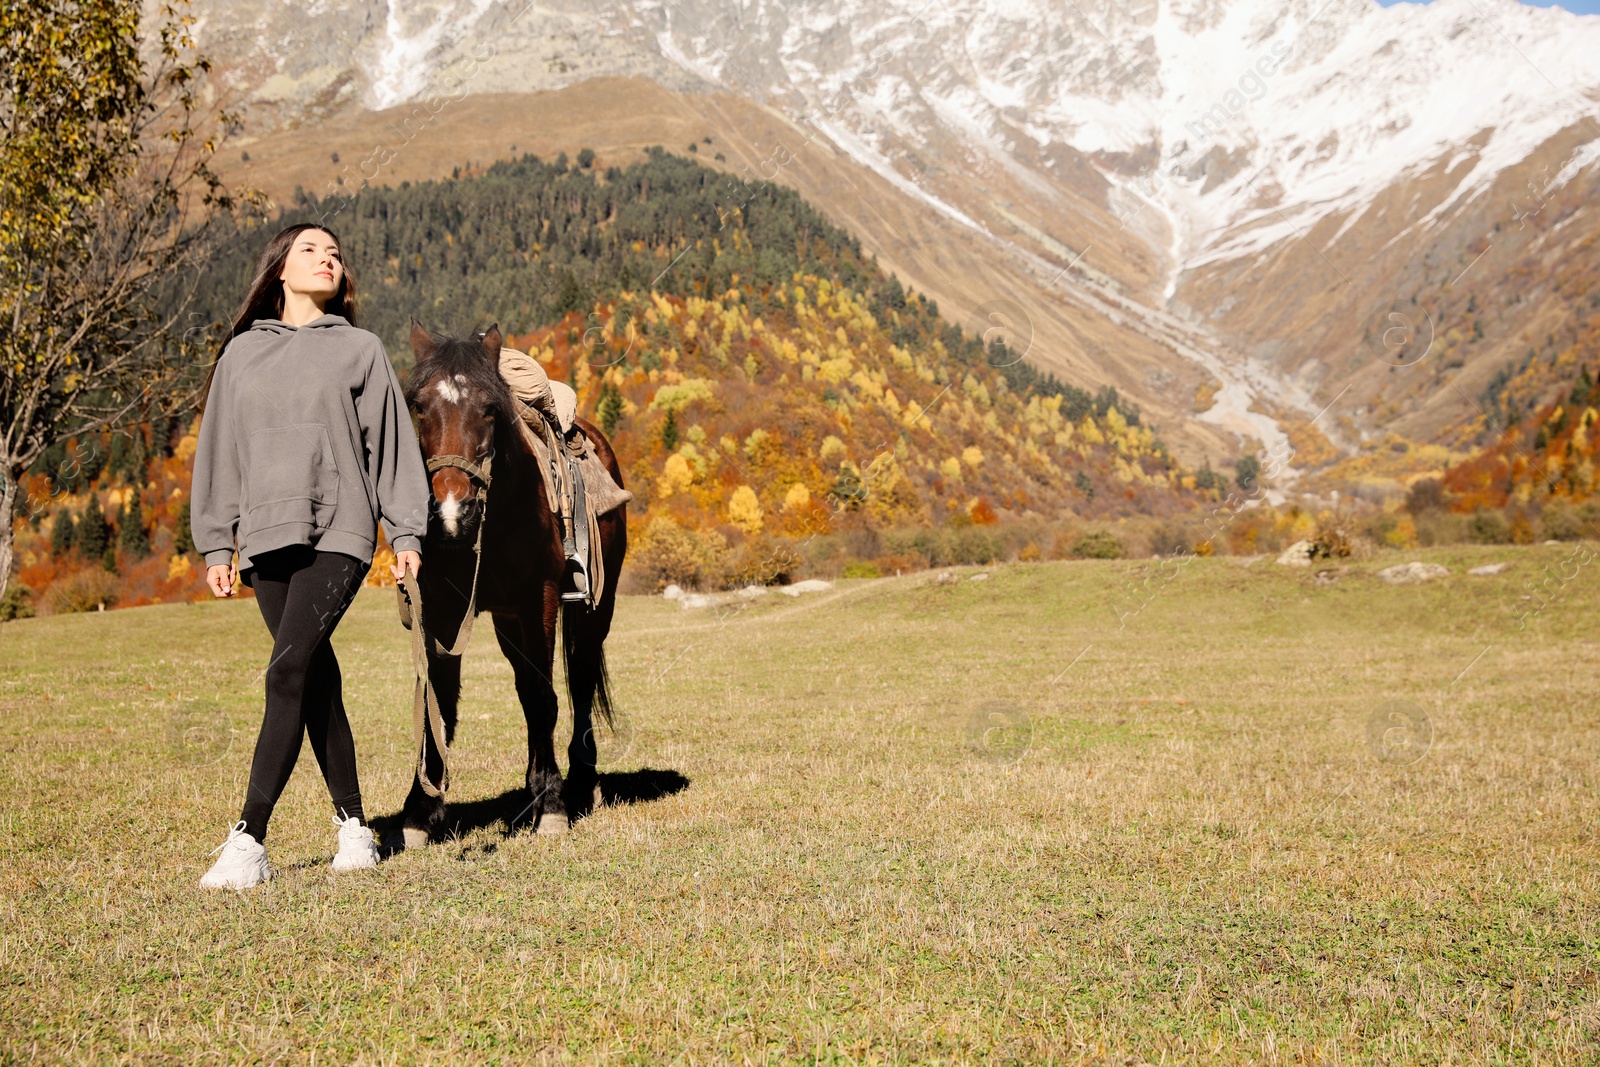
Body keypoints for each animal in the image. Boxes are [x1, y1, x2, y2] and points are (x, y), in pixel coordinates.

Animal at [396, 321, 627, 844]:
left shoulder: (537, 599)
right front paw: (421, 810)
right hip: (507, 622)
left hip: (594, 609)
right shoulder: (444, 608)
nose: (452, 514)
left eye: (489, 409)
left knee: (579, 680)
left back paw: (579, 781)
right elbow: (441, 698)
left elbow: (543, 695)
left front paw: (554, 807)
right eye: (418, 406)